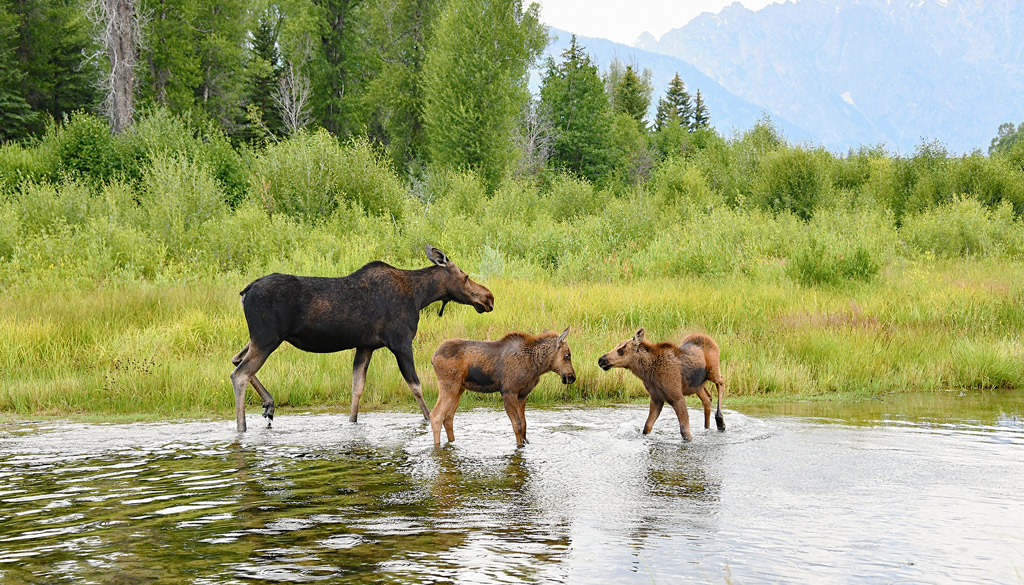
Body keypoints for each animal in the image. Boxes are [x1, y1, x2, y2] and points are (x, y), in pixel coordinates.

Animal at [230, 244, 493, 432]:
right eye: (466, 276)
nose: (488, 297)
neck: (420, 296)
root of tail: (244, 292)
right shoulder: (400, 342)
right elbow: (416, 386)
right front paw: (428, 419)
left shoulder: (366, 345)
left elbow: (357, 388)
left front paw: (352, 422)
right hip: (267, 338)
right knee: (240, 374)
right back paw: (242, 427)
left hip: (260, 338)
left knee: (236, 359)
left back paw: (269, 405)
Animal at [430, 329, 577, 448]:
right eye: (567, 355)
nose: (572, 377)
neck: (536, 366)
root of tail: (433, 358)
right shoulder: (508, 392)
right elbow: (517, 425)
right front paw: (519, 447)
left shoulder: (523, 395)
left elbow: (524, 424)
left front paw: (526, 443)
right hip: (449, 386)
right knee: (436, 415)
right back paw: (437, 447)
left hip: (459, 389)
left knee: (448, 418)